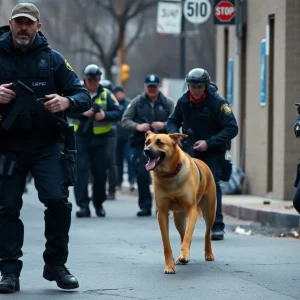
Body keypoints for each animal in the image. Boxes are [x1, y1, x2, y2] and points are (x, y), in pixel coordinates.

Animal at [143, 131, 216, 274]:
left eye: (159, 142)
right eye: (147, 142)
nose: (146, 151)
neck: (169, 175)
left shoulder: (191, 210)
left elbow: (189, 235)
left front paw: (184, 254)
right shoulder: (162, 213)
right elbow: (167, 243)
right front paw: (170, 266)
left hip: (209, 212)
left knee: (207, 233)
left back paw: (208, 253)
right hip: (178, 217)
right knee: (183, 233)